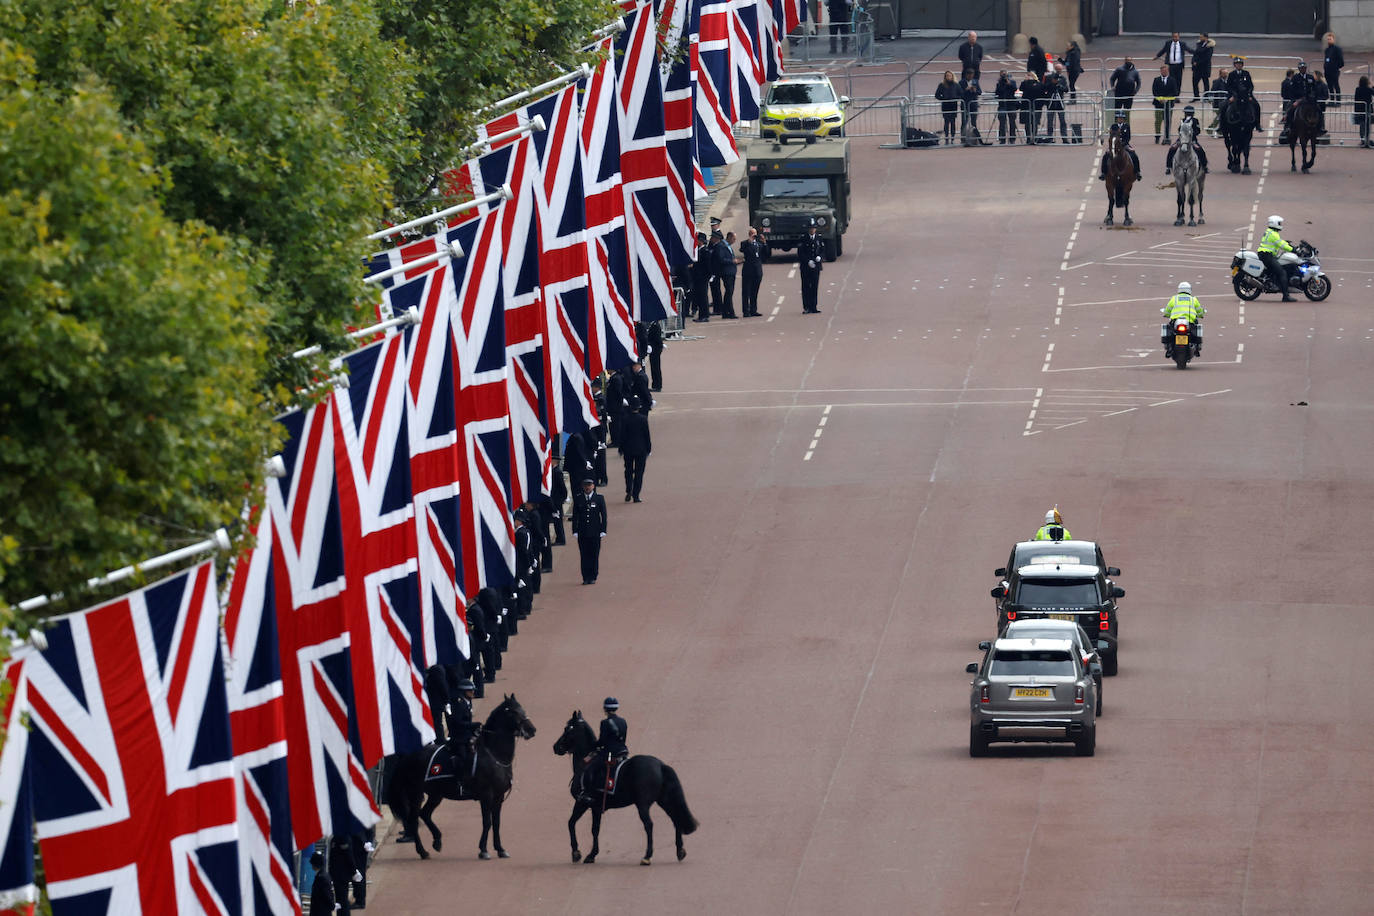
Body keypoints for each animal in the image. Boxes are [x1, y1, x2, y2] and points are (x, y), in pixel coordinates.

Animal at [392, 697, 535, 862]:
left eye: (522, 709)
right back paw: (422, 851)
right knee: (414, 820)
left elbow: (496, 822)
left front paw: (500, 849)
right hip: (415, 793)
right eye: (513, 711)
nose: (532, 730)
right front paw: (483, 850)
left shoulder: (498, 797)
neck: (494, 755)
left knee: (425, 814)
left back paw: (437, 841)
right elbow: (487, 822)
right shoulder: (486, 796)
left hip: (436, 794)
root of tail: (408, 756)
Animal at [552, 708, 697, 867]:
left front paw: (577, 853)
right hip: (664, 800)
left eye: (567, 729)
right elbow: (595, 829)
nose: (555, 747)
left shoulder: (582, 802)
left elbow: (572, 823)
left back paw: (647, 856)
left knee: (649, 825)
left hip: (643, 804)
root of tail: (660, 765)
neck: (585, 762)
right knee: (675, 820)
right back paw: (680, 851)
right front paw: (591, 854)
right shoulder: (595, 807)